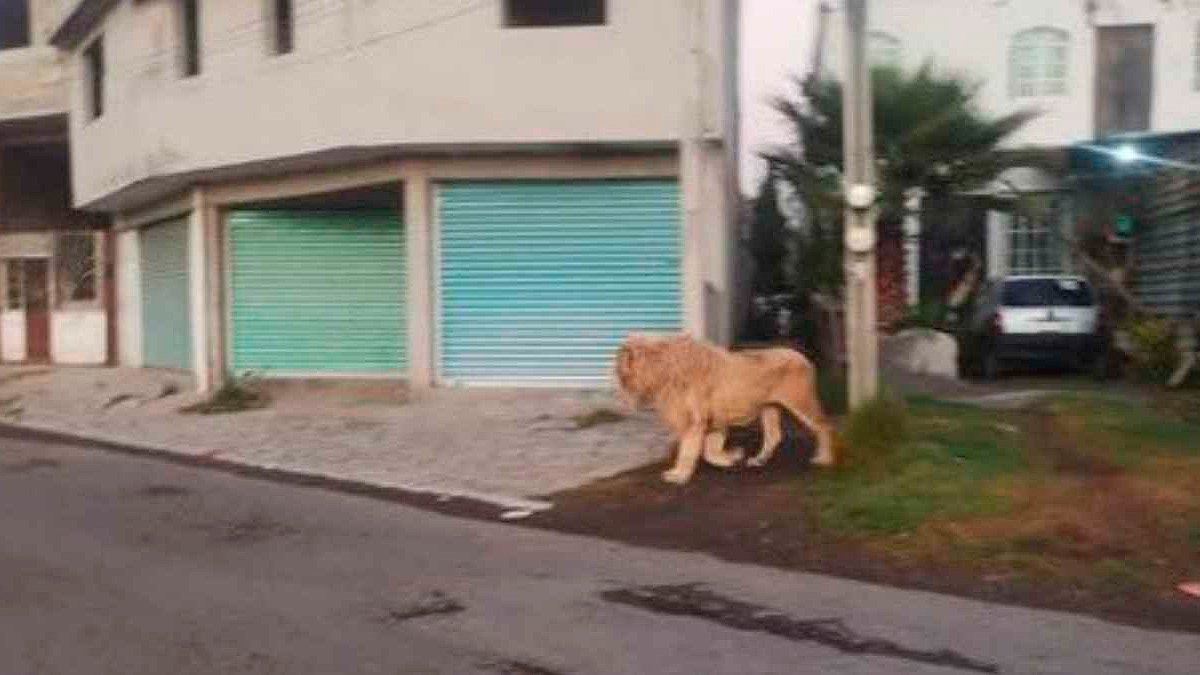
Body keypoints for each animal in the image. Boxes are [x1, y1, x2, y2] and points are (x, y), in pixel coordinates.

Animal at [614, 331, 840, 482]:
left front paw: (678, 474)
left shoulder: (695, 421)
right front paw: (731, 458)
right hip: (768, 407)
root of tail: (804, 358)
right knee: (774, 435)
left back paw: (824, 459)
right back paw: (758, 460)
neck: (663, 371)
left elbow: (688, 450)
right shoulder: (714, 421)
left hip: (801, 402)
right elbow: (709, 450)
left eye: (620, 371)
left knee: (824, 426)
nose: (619, 387)